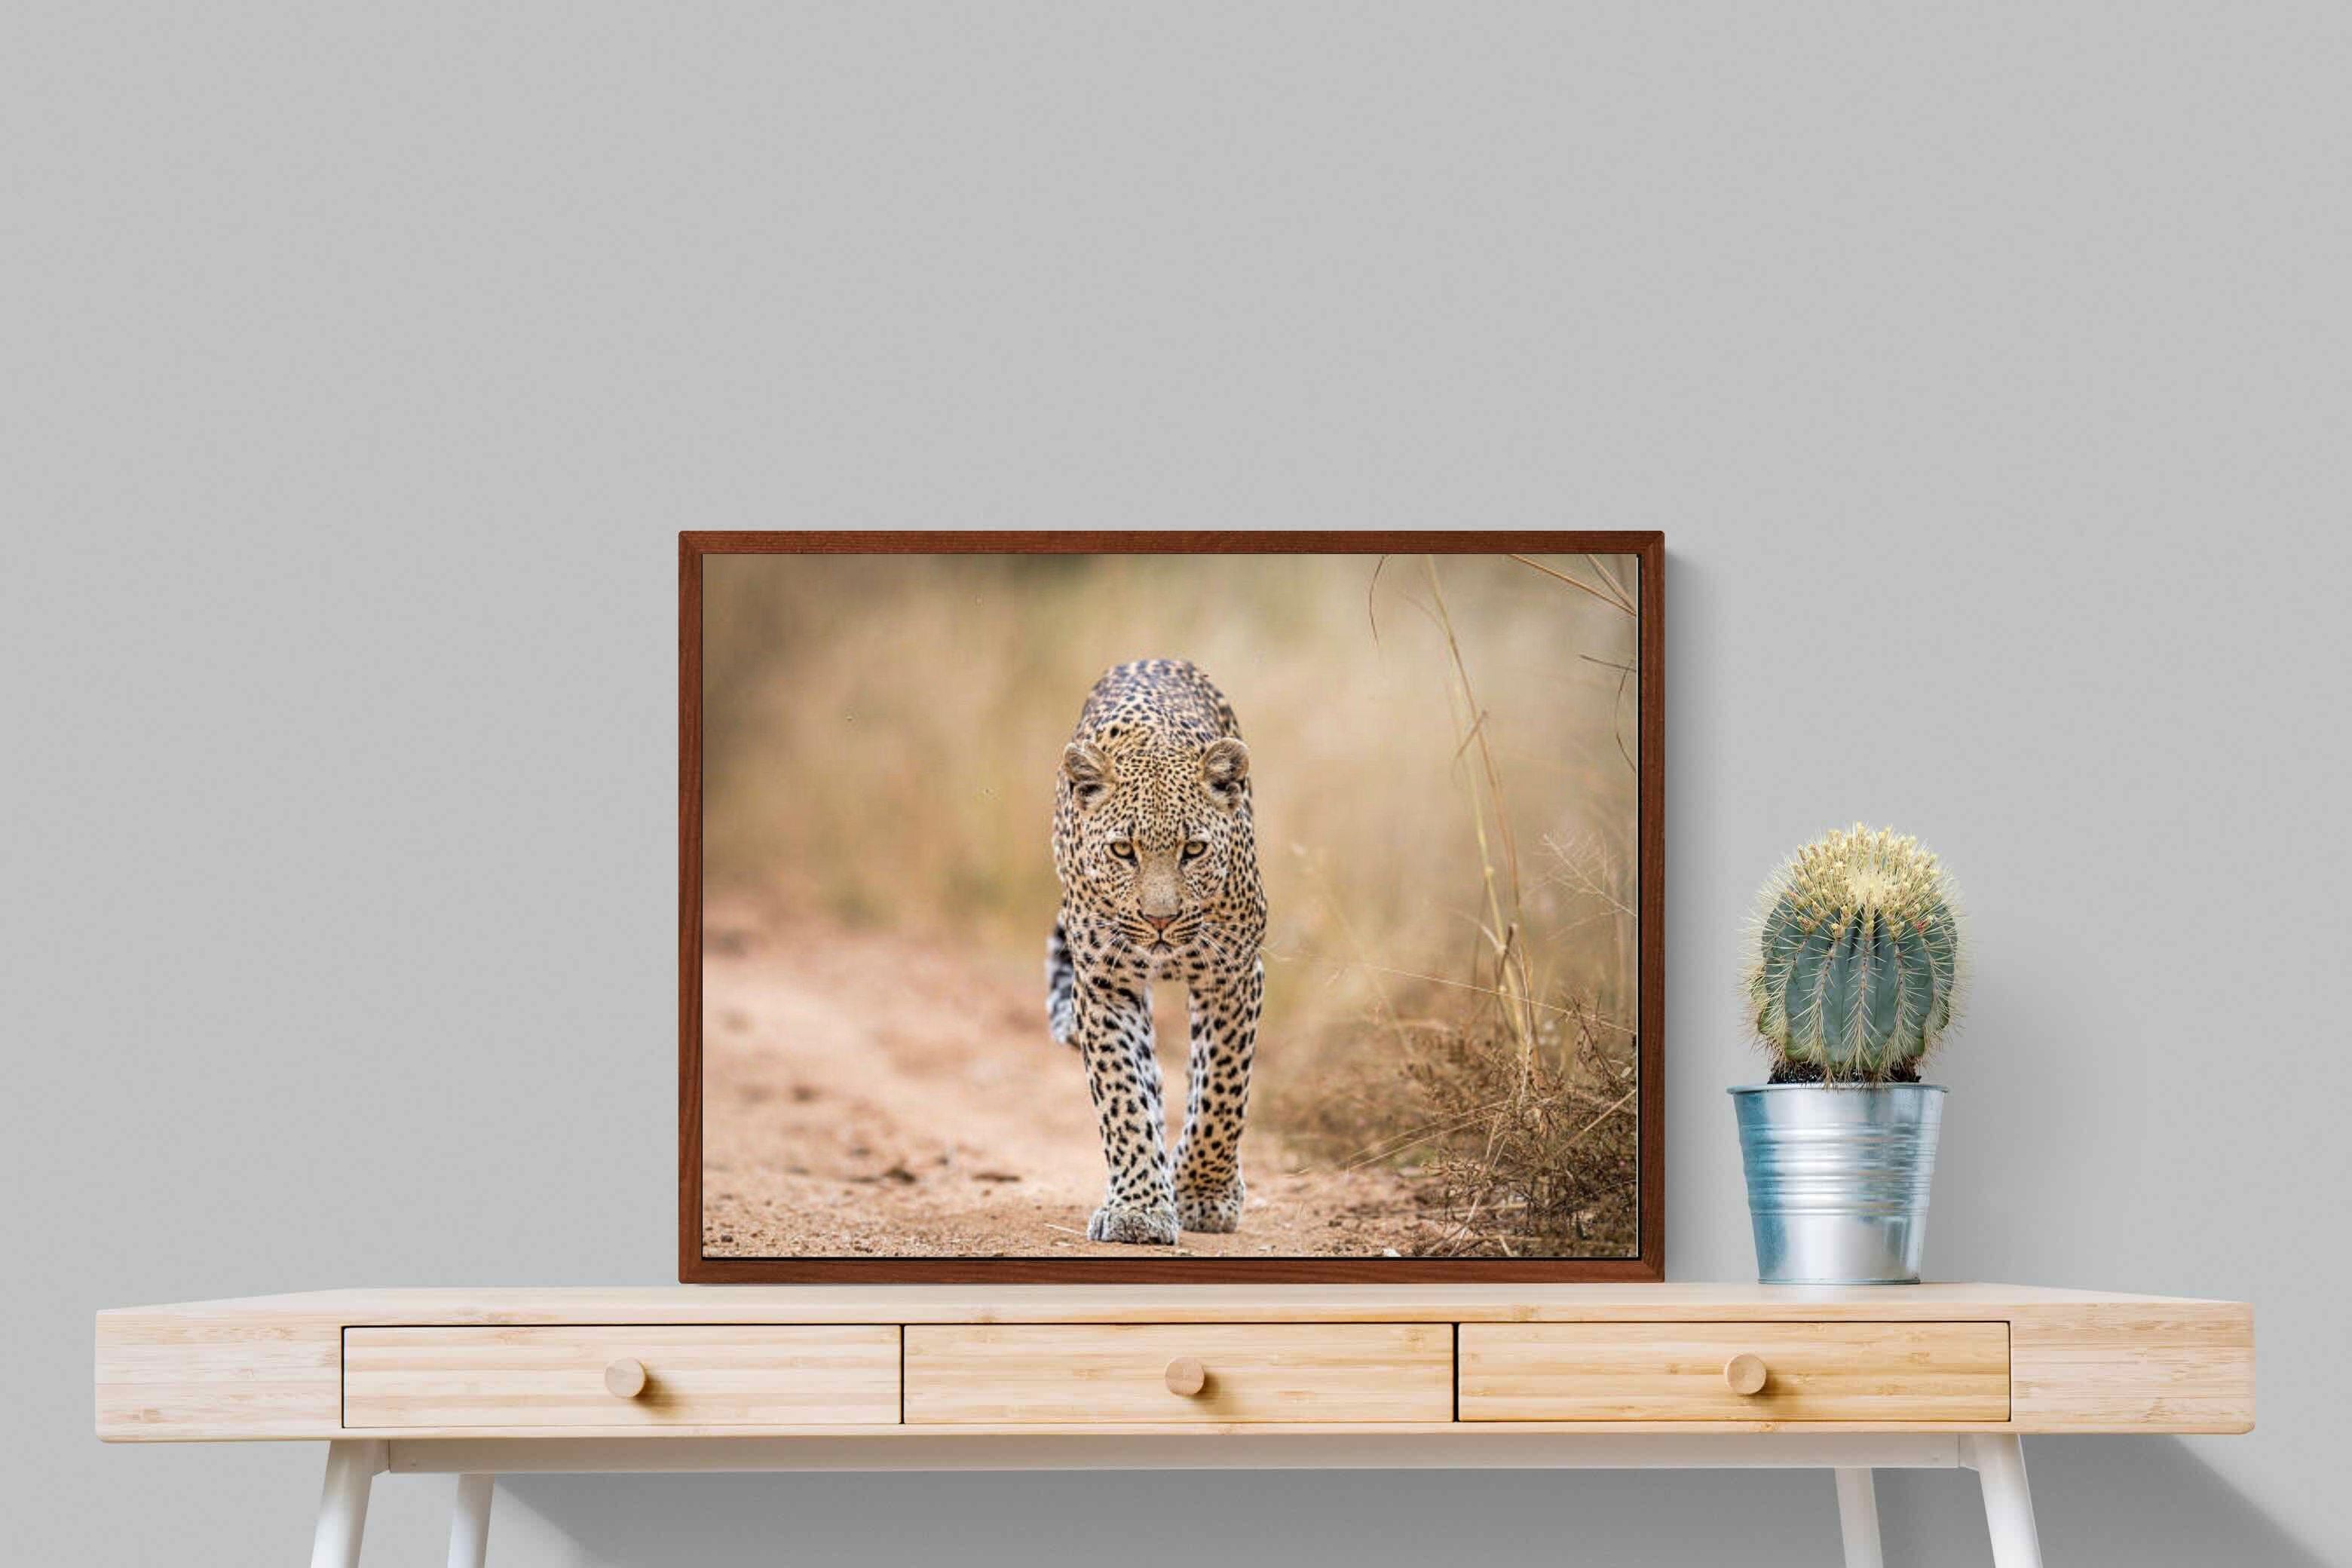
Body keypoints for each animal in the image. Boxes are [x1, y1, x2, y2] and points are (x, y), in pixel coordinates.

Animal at [1045, 658, 1268, 1245]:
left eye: (1194, 850)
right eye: (1124, 851)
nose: (1160, 920)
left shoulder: (1233, 975)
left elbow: (1222, 1092)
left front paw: (1205, 1195)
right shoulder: (1104, 984)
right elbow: (1123, 1095)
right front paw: (1139, 1209)